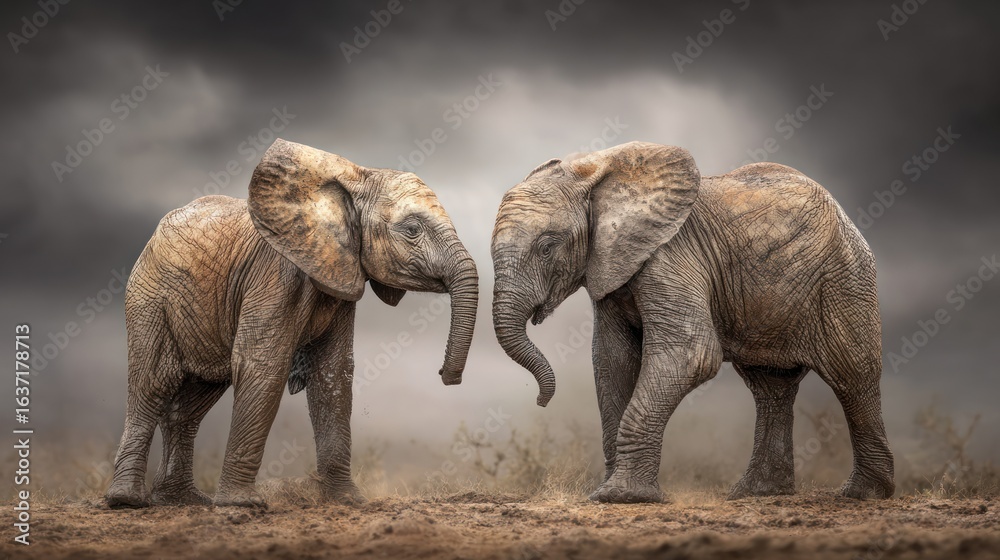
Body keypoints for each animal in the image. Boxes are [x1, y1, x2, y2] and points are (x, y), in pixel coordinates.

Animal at [105, 139, 478, 508]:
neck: (355, 178)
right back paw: (127, 500)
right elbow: (263, 364)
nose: (446, 376)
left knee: (192, 402)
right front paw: (242, 504)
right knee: (151, 383)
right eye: (412, 230)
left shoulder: (338, 273)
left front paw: (347, 500)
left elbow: (333, 373)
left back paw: (184, 500)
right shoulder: (276, 273)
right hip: (149, 297)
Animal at [491, 141, 894, 503]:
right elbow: (611, 361)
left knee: (853, 377)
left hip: (844, 280)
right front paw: (610, 491)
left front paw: (621, 497)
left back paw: (863, 495)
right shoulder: (609, 266)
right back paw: (756, 493)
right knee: (771, 386)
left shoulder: (669, 255)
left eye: (547, 247)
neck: (594, 171)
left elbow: (691, 354)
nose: (540, 401)